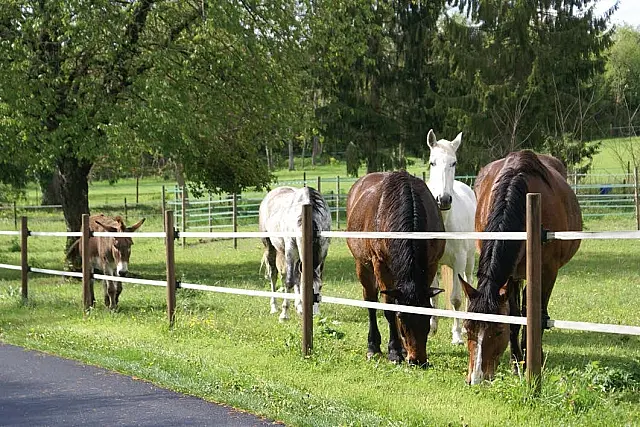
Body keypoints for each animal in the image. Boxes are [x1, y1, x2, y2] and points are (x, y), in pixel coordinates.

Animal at [258, 186, 331, 321]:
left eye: (320, 287)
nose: (313, 314)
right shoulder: (290, 249)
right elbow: (289, 281)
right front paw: (284, 314)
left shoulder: (323, 250)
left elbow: (306, 278)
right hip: (269, 246)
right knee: (273, 274)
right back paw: (274, 307)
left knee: (297, 275)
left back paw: (299, 307)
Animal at [346, 171, 446, 366]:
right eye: (401, 317)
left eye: (427, 316)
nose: (417, 360)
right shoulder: (380, 265)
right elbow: (388, 308)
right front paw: (394, 351)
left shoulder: (431, 264)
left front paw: (402, 349)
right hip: (363, 266)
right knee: (370, 301)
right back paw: (373, 347)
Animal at [459, 150, 582, 384]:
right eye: (467, 328)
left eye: (498, 330)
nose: (476, 378)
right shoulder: (513, 276)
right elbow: (515, 318)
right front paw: (517, 363)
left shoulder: (547, 272)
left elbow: (537, 315)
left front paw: (532, 362)